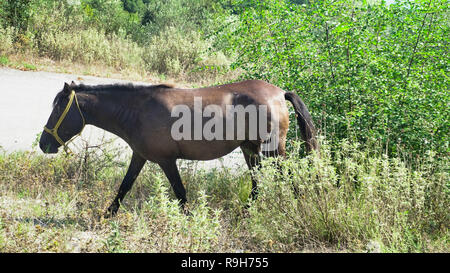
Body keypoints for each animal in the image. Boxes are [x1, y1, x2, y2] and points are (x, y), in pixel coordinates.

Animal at [40, 79, 318, 216]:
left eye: (57, 110)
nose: (44, 144)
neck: (137, 110)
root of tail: (280, 93)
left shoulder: (167, 160)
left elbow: (180, 191)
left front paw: (190, 219)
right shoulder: (139, 156)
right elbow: (125, 186)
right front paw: (108, 214)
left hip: (273, 150)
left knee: (290, 177)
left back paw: (301, 207)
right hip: (250, 149)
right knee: (257, 183)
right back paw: (245, 213)